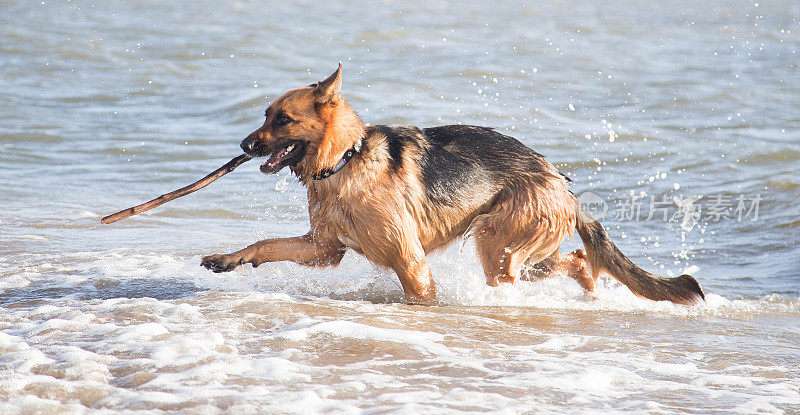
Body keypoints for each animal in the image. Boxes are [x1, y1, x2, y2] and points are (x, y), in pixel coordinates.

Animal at [202, 64, 708, 306]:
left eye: (283, 120)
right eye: (265, 115)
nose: (244, 146)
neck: (346, 160)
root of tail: (559, 181)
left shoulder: (410, 262)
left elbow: (422, 296)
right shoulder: (324, 250)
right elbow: (266, 244)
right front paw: (229, 259)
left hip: (498, 246)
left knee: (536, 268)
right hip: (522, 252)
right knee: (580, 260)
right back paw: (588, 292)